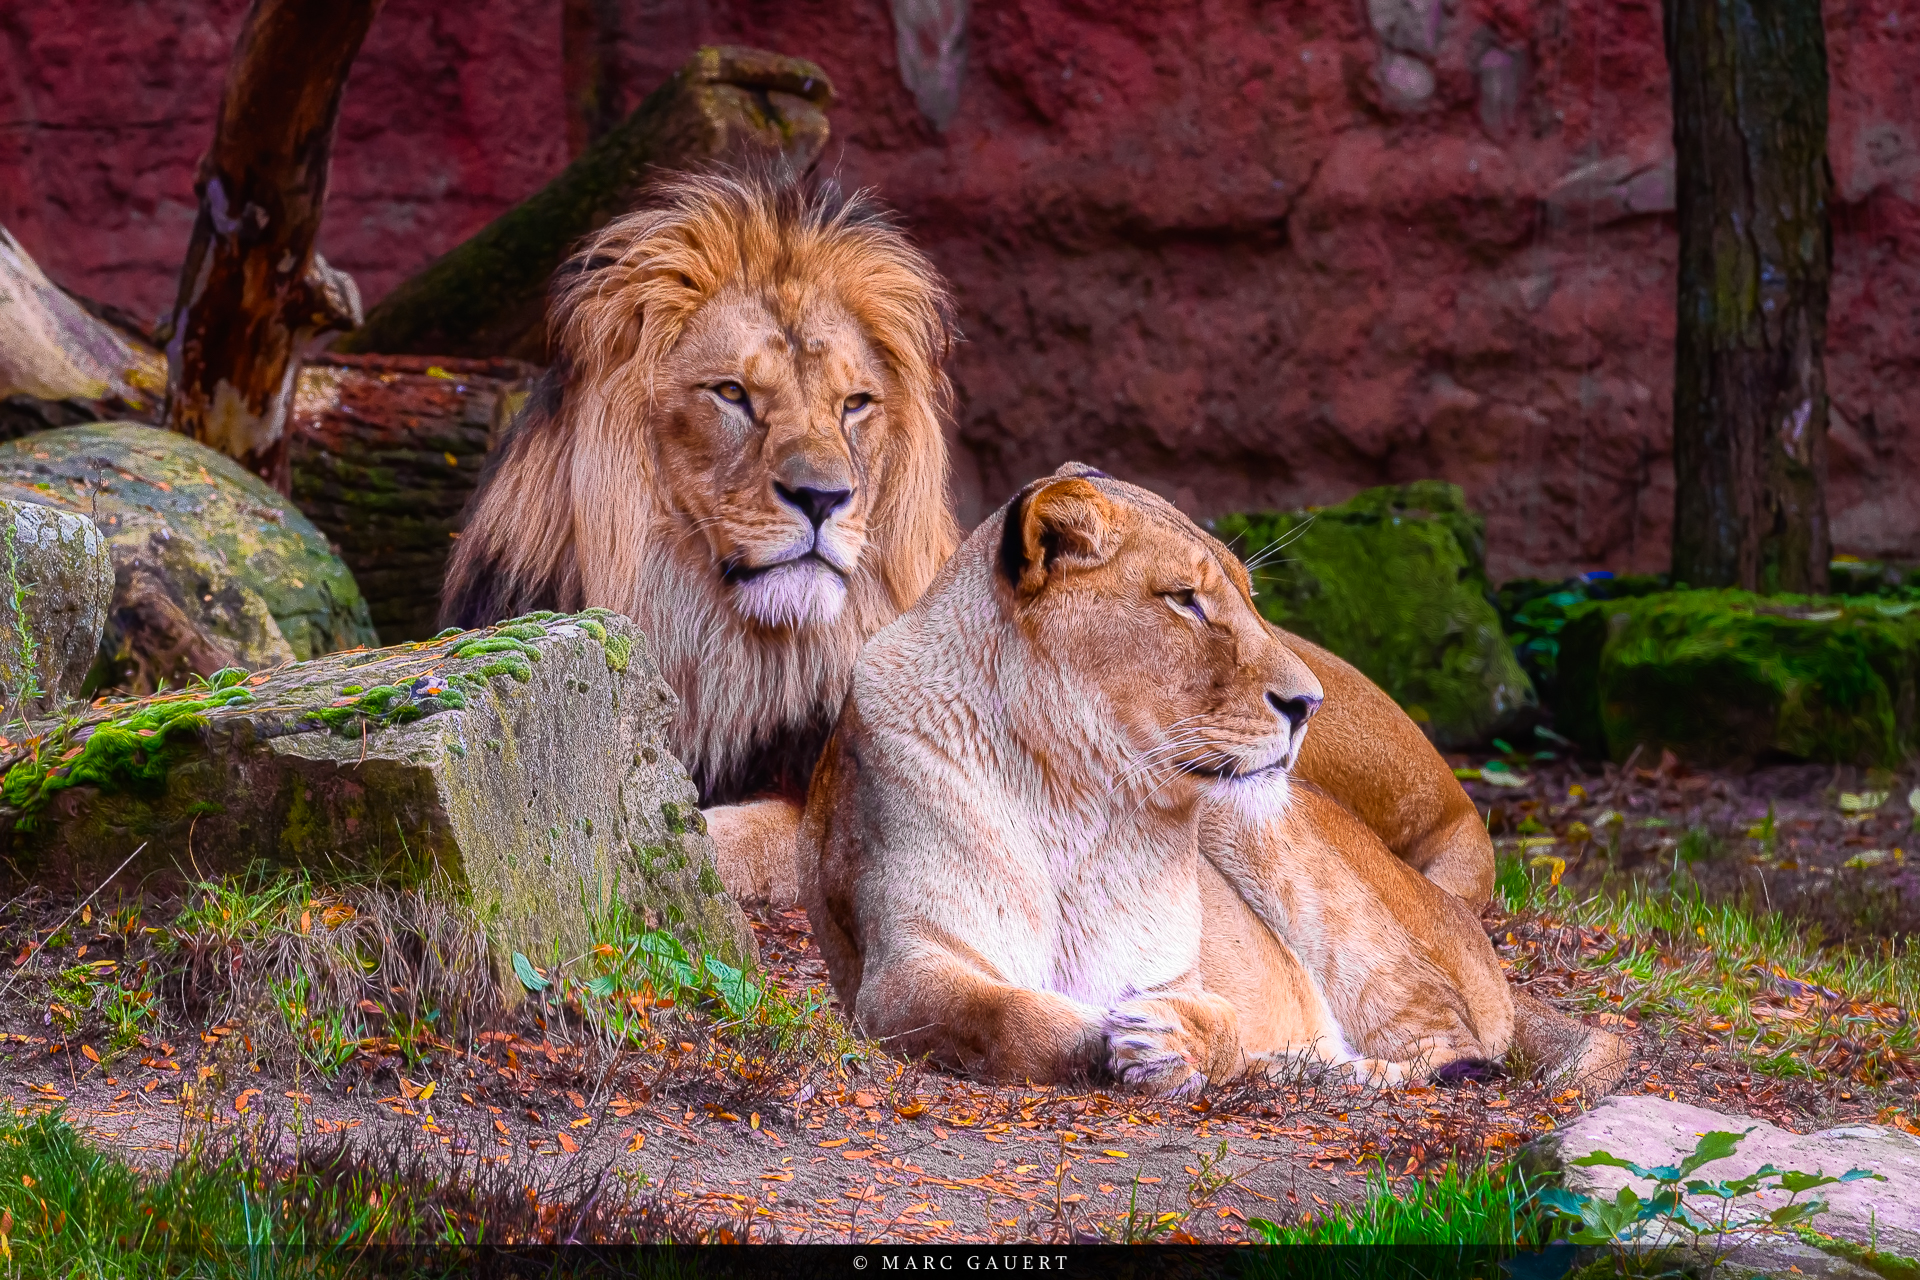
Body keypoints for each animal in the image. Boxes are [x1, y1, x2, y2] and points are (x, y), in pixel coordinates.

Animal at [798, 465, 1626, 1094]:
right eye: (1185, 600)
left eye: (1250, 599)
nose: (1308, 704)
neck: (1079, 798)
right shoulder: (899, 968)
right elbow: (1017, 1020)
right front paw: (1111, 1036)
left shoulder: (1177, 963)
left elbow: (1217, 1012)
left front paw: (1182, 1040)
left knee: (1445, 1047)